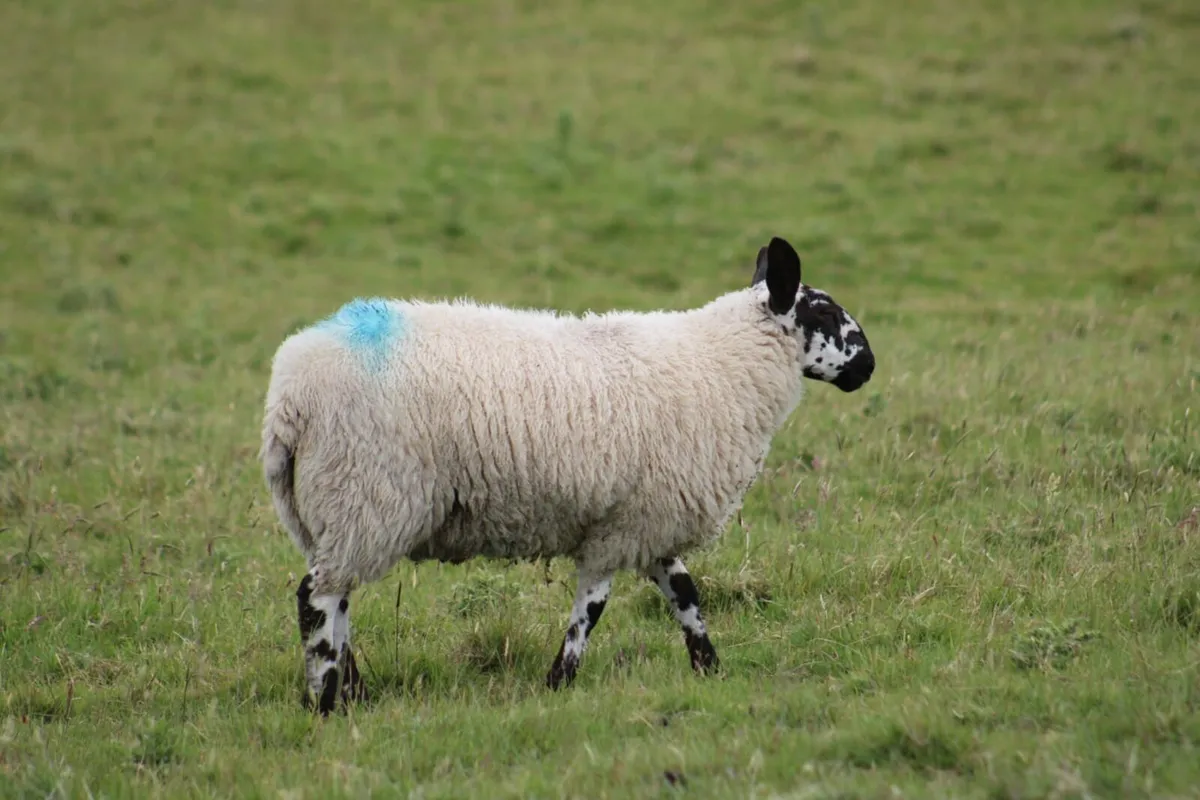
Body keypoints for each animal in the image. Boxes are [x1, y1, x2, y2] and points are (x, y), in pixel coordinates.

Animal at [260, 236, 875, 714]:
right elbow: (593, 608)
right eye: (823, 313)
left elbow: (685, 594)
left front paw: (709, 668)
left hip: (336, 511)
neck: (722, 365)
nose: (868, 367)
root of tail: (289, 397)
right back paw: (326, 700)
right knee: (316, 599)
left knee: (337, 600)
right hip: (365, 494)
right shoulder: (625, 524)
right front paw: (560, 679)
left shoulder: (650, 517)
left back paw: (352, 691)